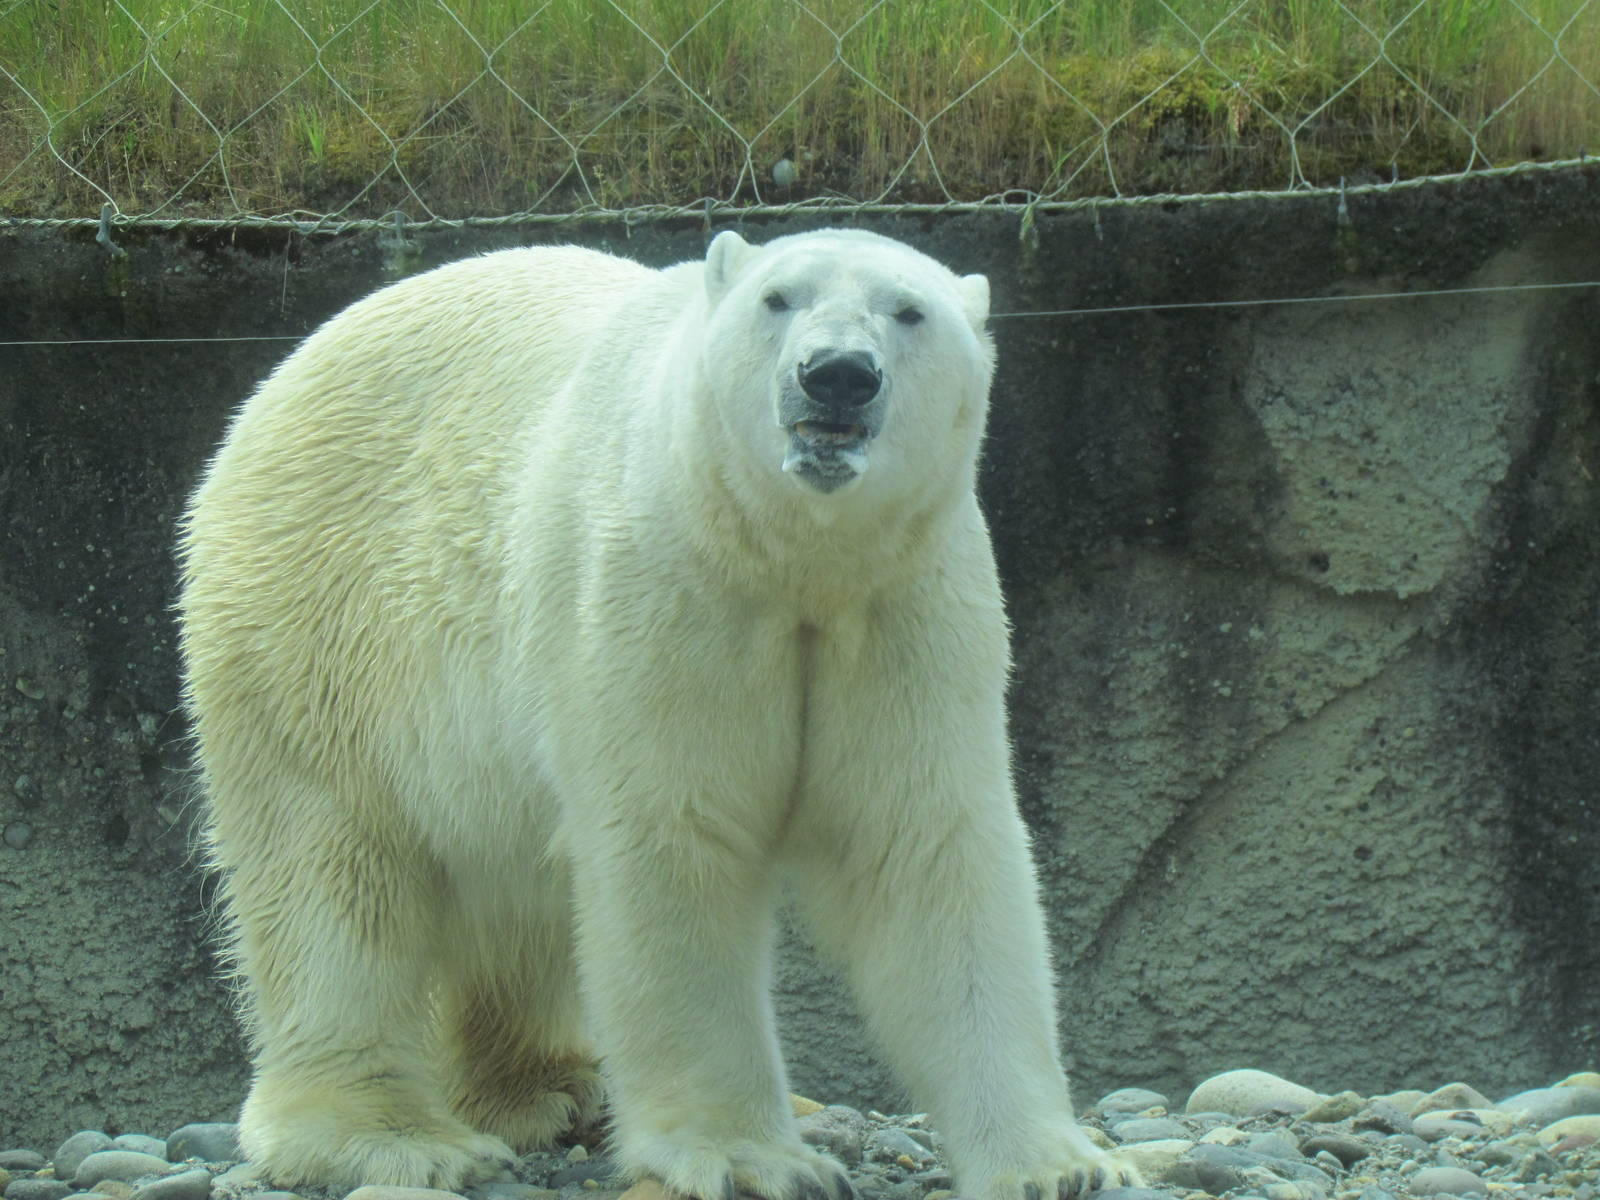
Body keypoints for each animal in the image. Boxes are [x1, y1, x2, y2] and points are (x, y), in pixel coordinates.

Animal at [177, 229, 1139, 1200]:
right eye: (778, 299)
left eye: (910, 311)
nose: (836, 375)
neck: (794, 560)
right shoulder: (670, 592)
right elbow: (676, 838)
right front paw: (751, 1157)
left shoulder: (904, 611)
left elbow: (925, 847)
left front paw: (1059, 1165)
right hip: (318, 630)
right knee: (330, 877)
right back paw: (394, 1135)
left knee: (514, 892)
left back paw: (550, 1089)